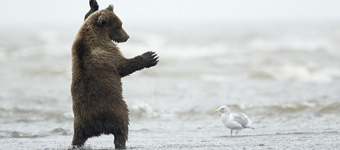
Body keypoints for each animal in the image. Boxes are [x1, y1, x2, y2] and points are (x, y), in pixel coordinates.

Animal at [71, 2, 159, 149]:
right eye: (119, 25)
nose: (127, 37)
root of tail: (96, 125)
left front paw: (94, 5)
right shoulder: (108, 52)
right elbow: (123, 67)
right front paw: (150, 56)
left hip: (79, 121)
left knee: (78, 138)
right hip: (117, 110)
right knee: (122, 128)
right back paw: (121, 143)